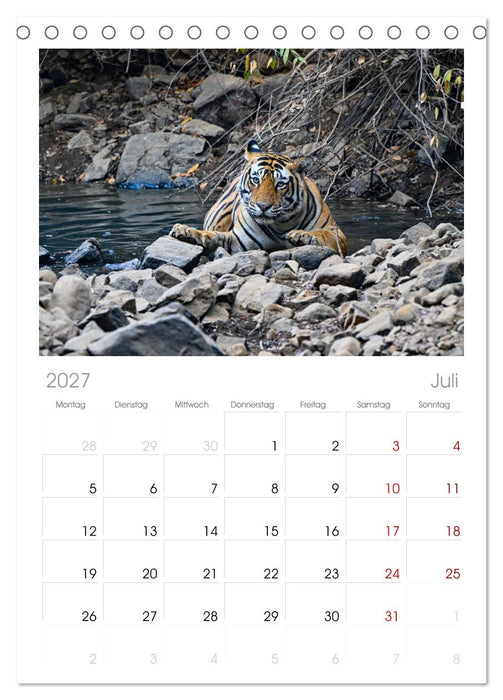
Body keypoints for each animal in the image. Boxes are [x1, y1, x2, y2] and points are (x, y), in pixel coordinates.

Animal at [170, 140, 347, 256]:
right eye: (255, 180)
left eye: (280, 184)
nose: (263, 206)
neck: (281, 225)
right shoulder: (237, 242)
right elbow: (212, 236)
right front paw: (186, 231)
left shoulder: (337, 233)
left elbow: (322, 234)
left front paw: (301, 235)